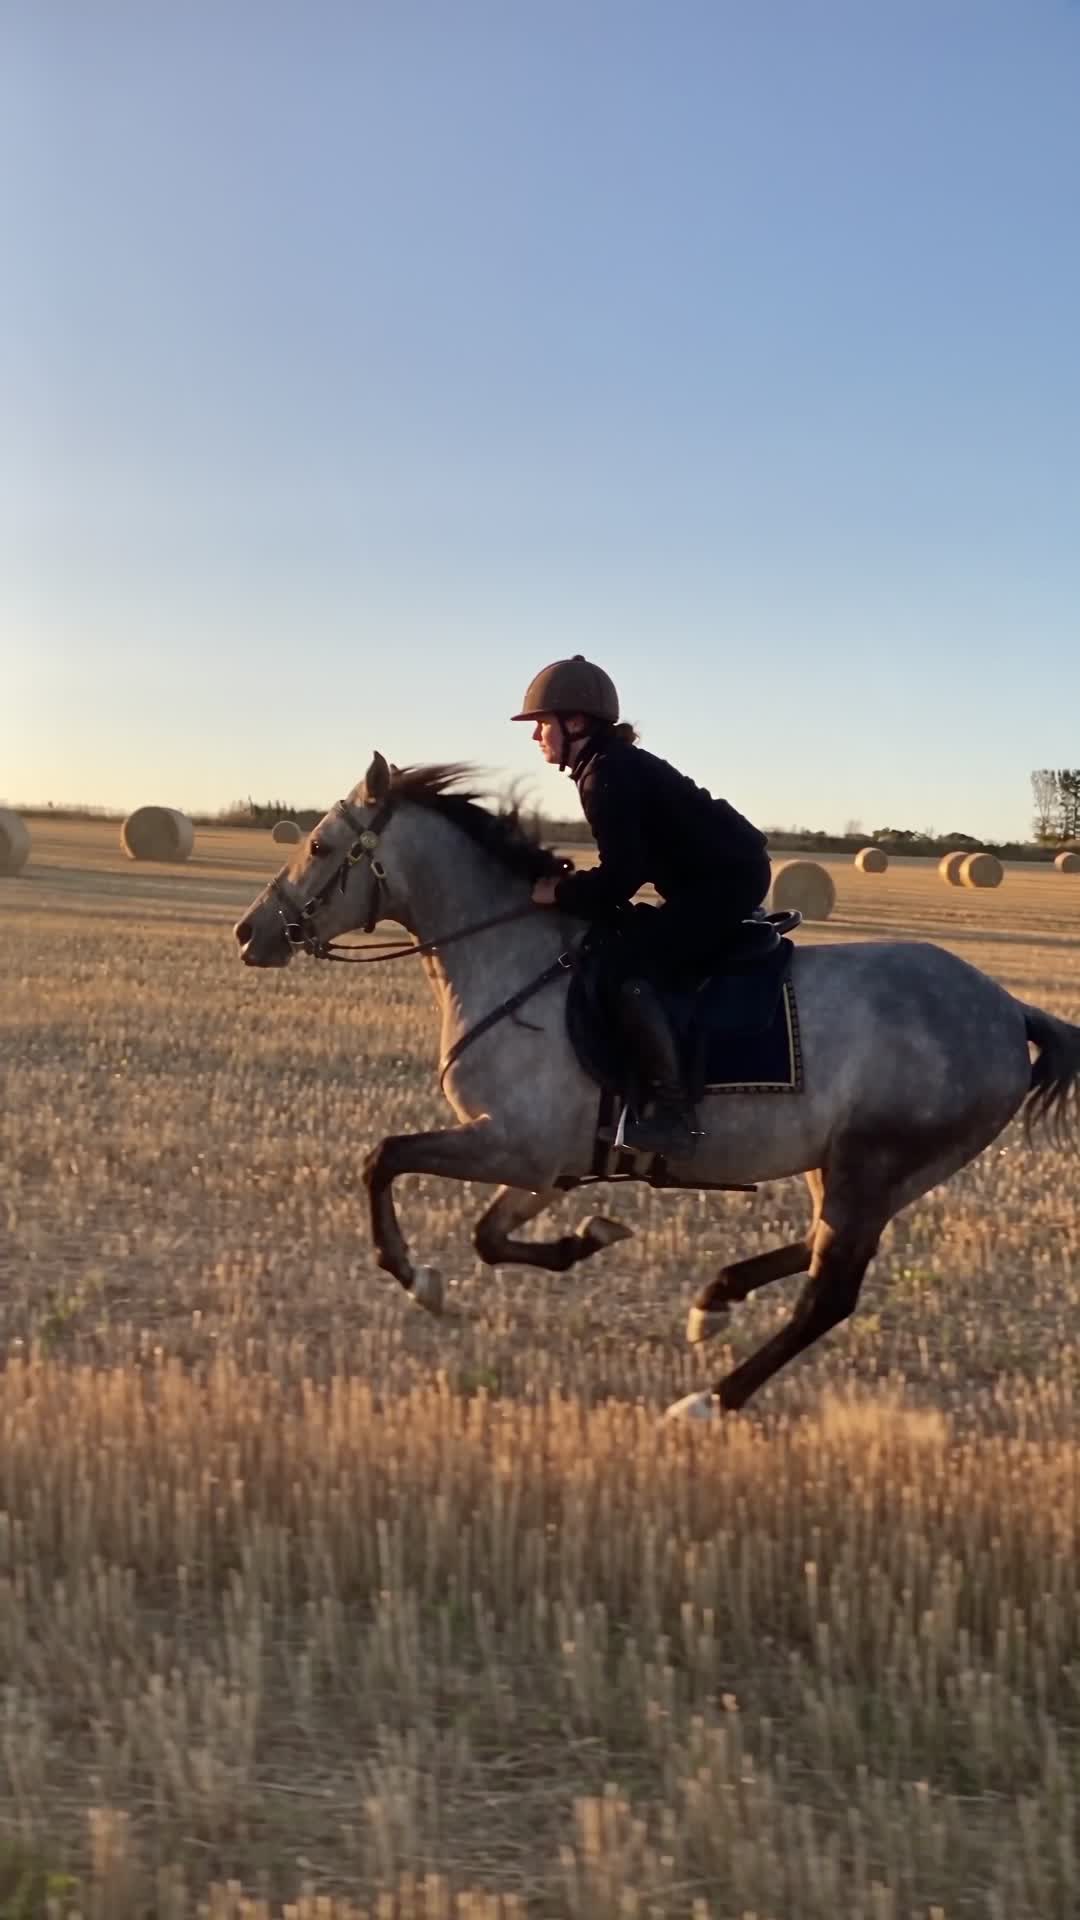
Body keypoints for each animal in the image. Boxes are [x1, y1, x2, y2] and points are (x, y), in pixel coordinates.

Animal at [233, 753, 1080, 1419]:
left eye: (320, 844)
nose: (249, 934)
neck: (512, 956)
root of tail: (1009, 1009)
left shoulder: (511, 1145)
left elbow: (383, 1160)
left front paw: (419, 1280)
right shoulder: (545, 1165)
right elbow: (490, 1235)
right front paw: (588, 1239)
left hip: (873, 1164)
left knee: (829, 1292)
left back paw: (712, 1399)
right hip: (858, 1169)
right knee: (820, 1250)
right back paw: (716, 1301)